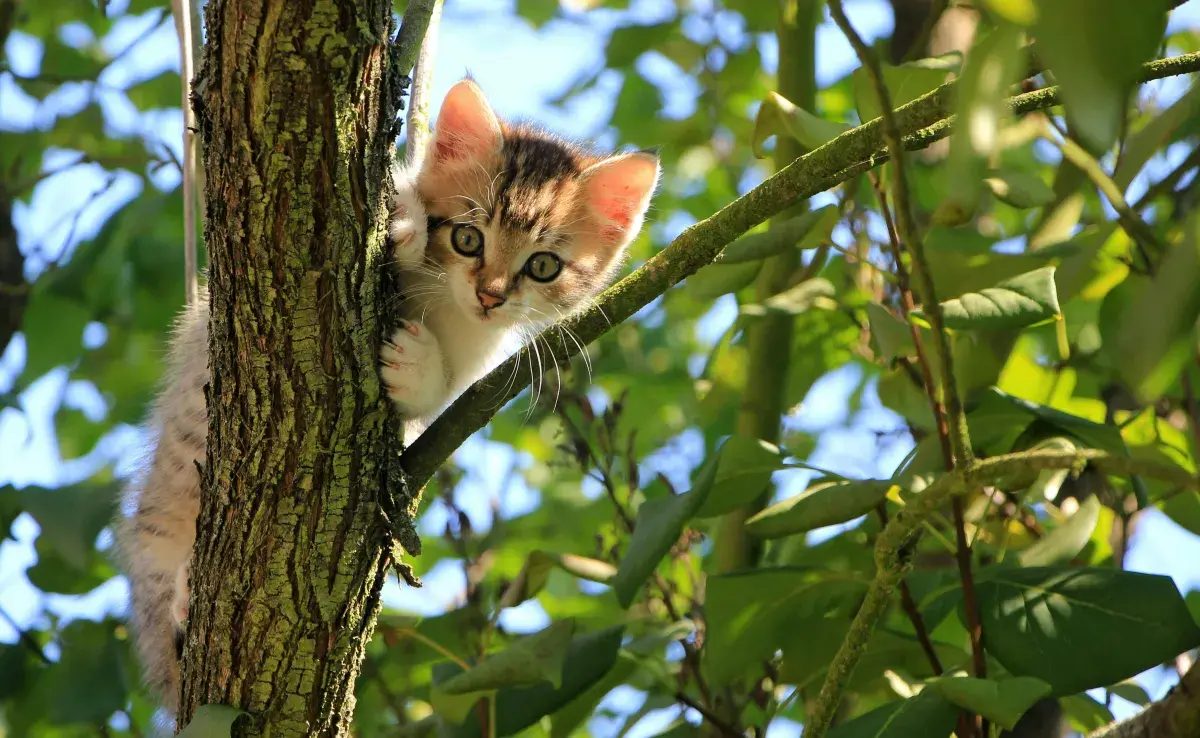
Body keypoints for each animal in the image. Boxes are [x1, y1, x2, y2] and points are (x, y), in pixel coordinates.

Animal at [114, 79, 657, 710]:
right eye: (467, 237)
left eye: (543, 266)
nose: (491, 295)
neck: (445, 305)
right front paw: (403, 221)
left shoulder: (473, 363)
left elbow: (437, 397)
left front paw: (416, 366)